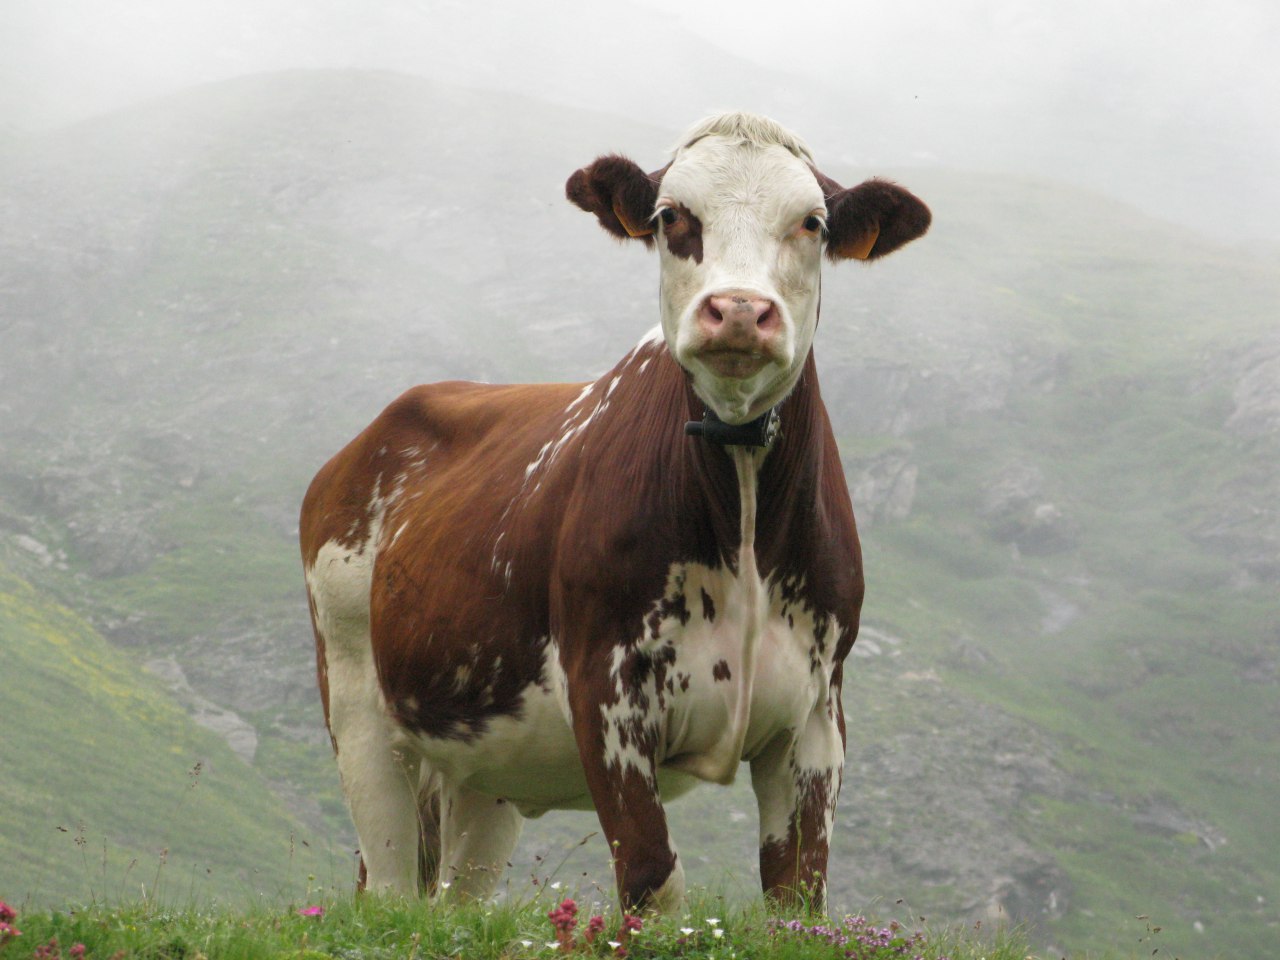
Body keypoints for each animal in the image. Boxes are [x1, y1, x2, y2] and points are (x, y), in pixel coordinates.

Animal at [300, 112, 930, 912]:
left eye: (812, 222)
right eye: (671, 217)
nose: (739, 311)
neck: (742, 511)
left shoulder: (816, 713)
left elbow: (797, 895)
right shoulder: (605, 685)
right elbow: (653, 877)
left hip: (485, 762)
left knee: (456, 893)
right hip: (357, 696)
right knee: (387, 884)